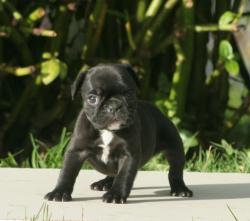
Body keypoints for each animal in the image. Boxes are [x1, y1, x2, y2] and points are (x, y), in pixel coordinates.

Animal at [44, 63, 193, 203]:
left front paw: (115, 195)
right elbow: (67, 172)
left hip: (175, 147)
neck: (108, 131)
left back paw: (180, 189)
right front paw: (59, 192)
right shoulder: (76, 151)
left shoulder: (128, 155)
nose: (114, 106)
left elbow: (124, 176)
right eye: (92, 98)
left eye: (128, 94)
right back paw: (104, 183)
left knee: (175, 171)